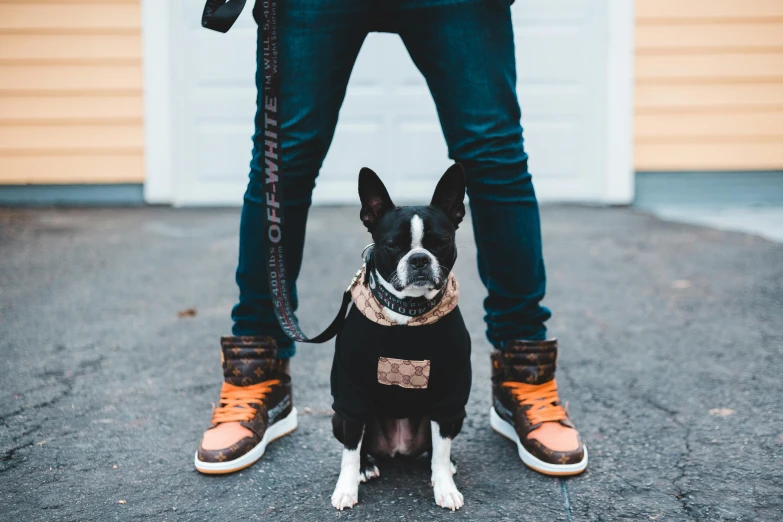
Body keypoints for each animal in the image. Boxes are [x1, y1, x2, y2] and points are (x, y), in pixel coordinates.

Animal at [330, 162, 472, 508]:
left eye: (441, 242)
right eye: (392, 244)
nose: (419, 259)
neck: (408, 310)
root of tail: (398, 448)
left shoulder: (450, 395)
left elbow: (441, 447)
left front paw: (445, 487)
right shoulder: (351, 397)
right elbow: (349, 451)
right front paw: (346, 488)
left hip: (458, 413)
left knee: (436, 447)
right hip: (338, 416)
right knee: (358, 443)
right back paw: (366, 466)